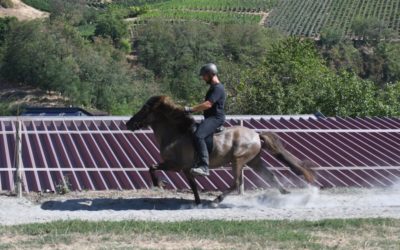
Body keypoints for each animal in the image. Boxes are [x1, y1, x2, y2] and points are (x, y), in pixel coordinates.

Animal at [126, 95, 316, 205]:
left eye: (144, 109)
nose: (129, 124)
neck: (176, 133)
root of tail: (256, 134)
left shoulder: (175, 164)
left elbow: (151, 167)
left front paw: (159, 184)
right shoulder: (186, 169)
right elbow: (193, 186)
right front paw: (197, 202)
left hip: (238, 160)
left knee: (237, 183)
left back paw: (218, 199)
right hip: (254, 161)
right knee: (270, 176)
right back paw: (287, 194)